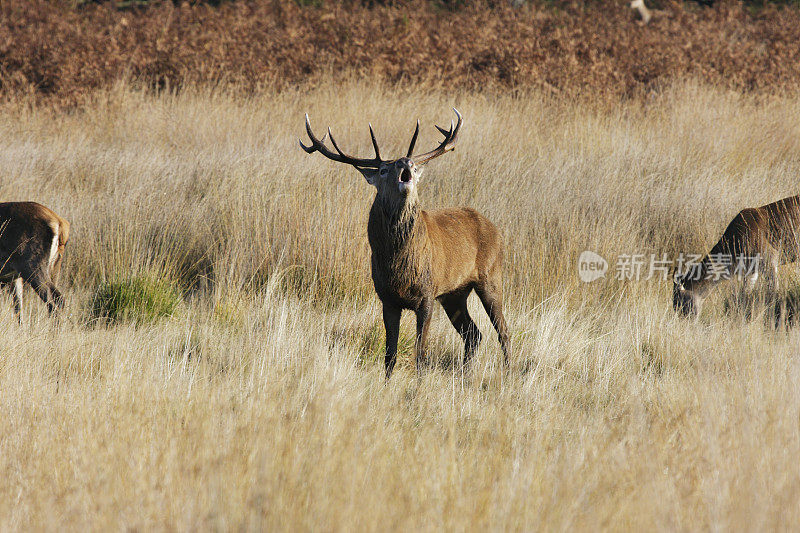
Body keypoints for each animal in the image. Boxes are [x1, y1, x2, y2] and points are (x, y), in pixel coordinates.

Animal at [300, 109, 512, 378]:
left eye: (412, 164)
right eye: (382, 169)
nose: (405, 162)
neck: (398, 265)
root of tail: (496, 229)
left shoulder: (427, 294)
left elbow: (420, 354)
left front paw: (419, 385)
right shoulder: (387, 298)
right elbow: (390, 354)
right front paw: (387, 383)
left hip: (491, 276)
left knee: (502, 331)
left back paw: (508, 372)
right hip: (454, 293)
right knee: (473, 333)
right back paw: (465, 374)